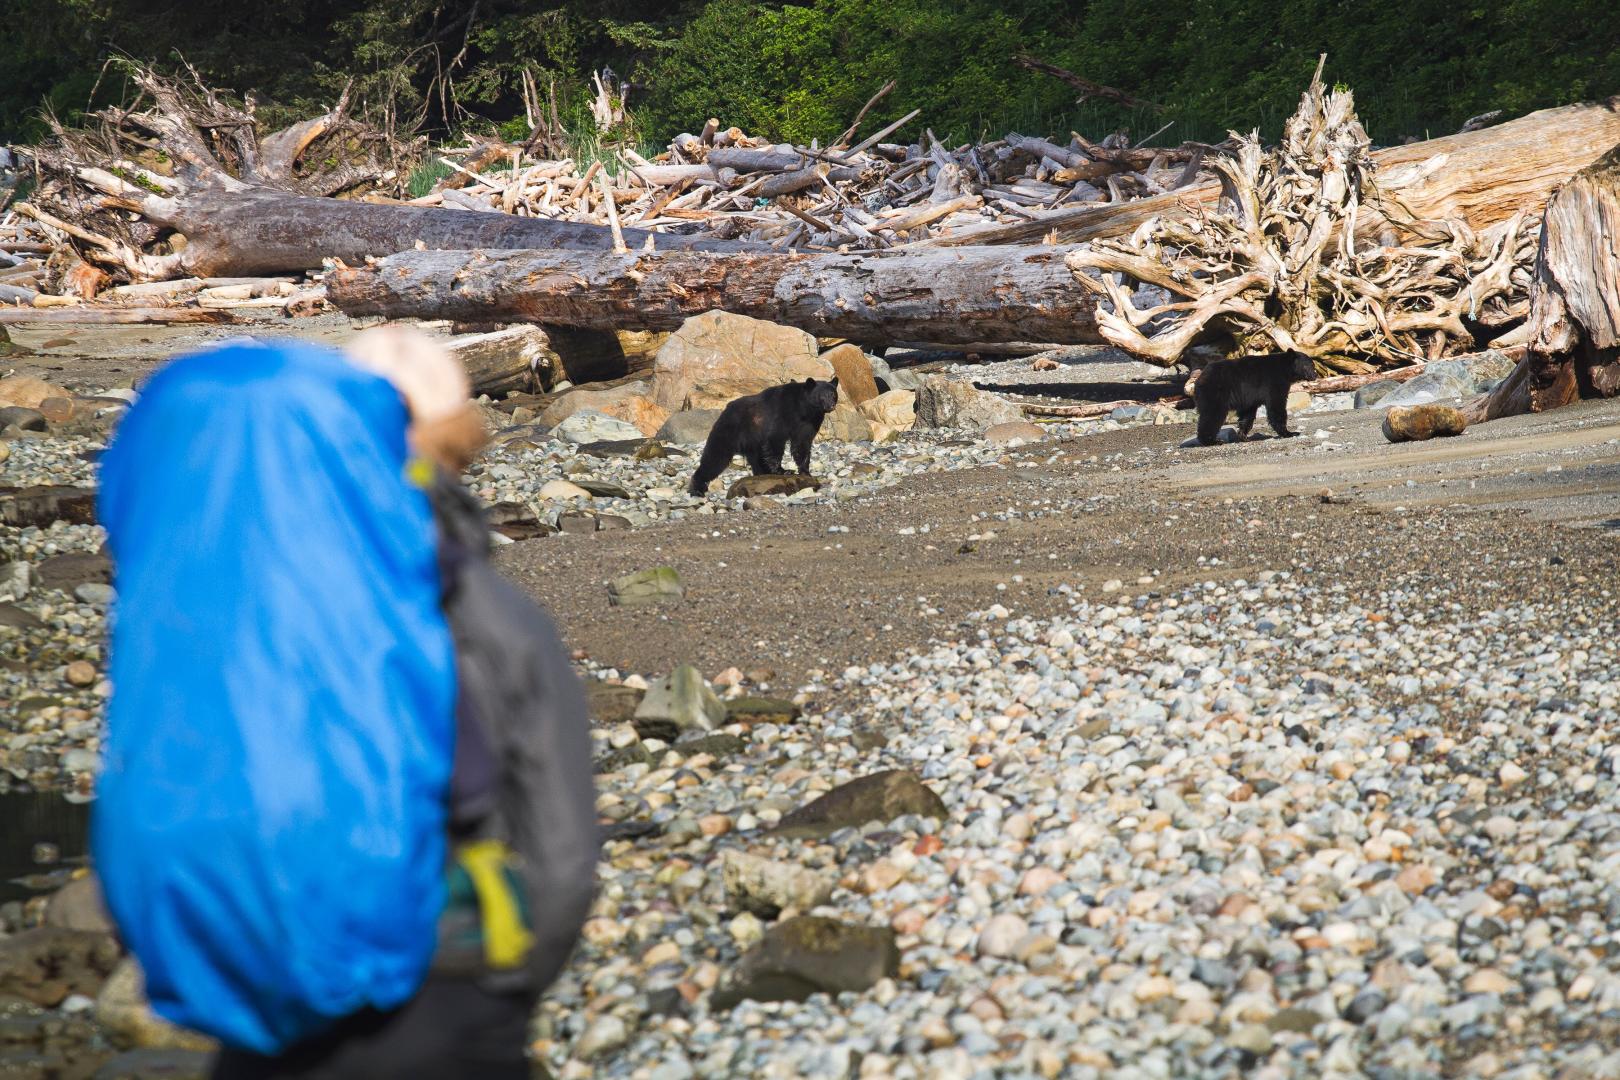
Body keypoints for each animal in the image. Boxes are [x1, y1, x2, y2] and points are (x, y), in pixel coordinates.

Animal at [686, 375, 842, 495]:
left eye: (833, 394)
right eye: (822, 396)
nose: (831, 406)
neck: (803, 409)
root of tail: (725, 410)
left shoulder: (809, 422)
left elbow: (802, 444)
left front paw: (805, 472)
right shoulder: (781, 414)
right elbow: (775, 440)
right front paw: (783, 470)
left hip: (750, 442)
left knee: (755, 458)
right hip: (730, 430)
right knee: (715, 457)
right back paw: (697, 487)